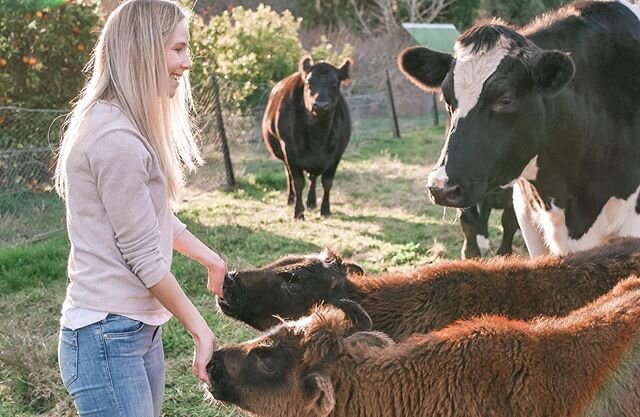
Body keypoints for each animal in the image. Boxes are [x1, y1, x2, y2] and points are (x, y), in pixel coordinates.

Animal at [262, 55, 352, 221]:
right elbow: (298, 182)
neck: (318, 136)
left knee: (313, 177)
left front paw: (325, 209)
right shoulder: (289, 151)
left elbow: (327, 182)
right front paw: (298, 212)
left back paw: (311, 202)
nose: (321, 105)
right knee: (289, 176)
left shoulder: (337, 154)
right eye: (310, 83)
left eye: (334, 83)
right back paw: (291, 199)